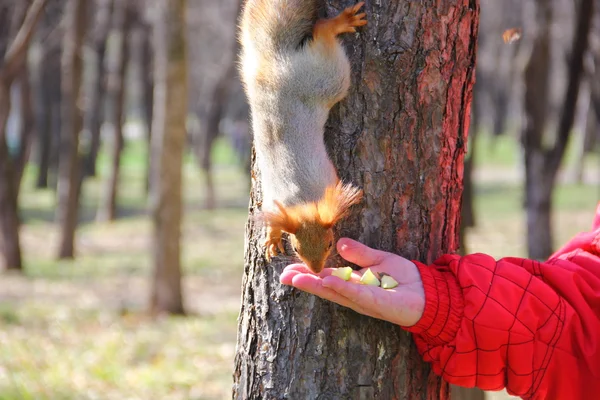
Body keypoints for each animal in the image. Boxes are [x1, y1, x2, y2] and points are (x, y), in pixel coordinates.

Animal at [239, 0, 366, 274]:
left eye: (330, 243)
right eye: (296, 249)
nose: (316, 271)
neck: (302, 199)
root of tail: (274, 62)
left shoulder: (329, 182)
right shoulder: (275, 203)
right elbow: (274, 220)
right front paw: (273, 238)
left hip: (328, 79)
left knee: (321, 33)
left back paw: (339, 22)